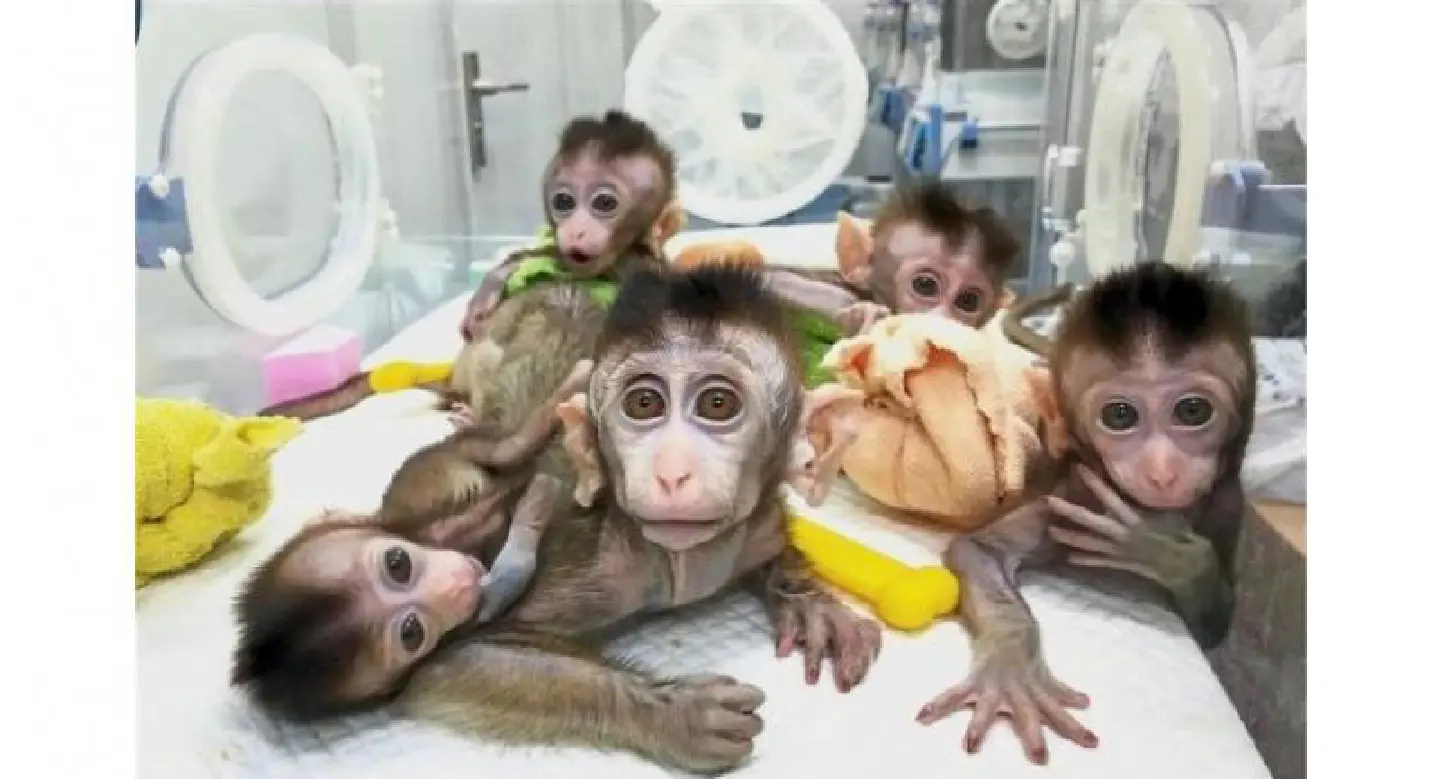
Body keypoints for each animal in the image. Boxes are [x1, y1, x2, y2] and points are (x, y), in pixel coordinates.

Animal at [233, 265, 880, 774]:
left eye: (718, 404)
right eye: (644, 404)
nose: (673, 472)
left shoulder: (753, 525)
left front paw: (805, 599)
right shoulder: (580, 556)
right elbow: (445, 667)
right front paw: (666, 712)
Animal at [912, 261, 1257, 765]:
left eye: (1193, 410)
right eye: (1119, 416)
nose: (1162, 470)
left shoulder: (1229, 503)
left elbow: (1215, 623)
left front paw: (1162, 550)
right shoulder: (1073, 496)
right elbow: (978, 550)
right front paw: (1011, 669)